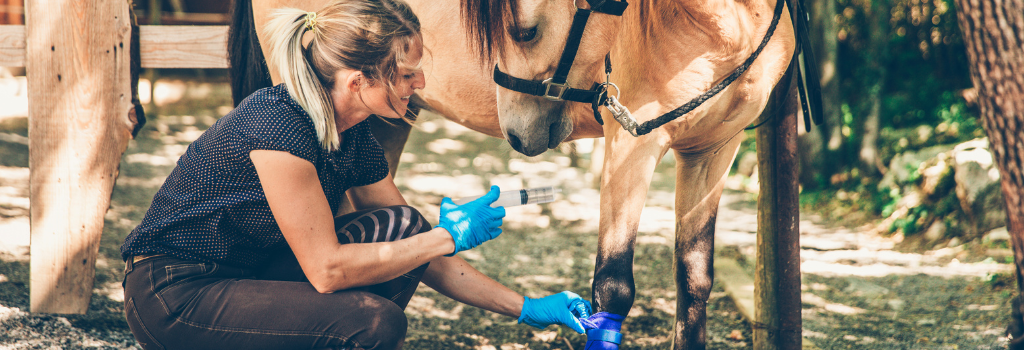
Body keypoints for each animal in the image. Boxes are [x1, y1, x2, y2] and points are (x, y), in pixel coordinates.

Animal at [232, 0, 798, 345]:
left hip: (382, 119)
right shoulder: (633, 145)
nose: (517, 133)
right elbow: (613, 288)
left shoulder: (714, 150)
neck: (722, 27)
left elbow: (694, 280)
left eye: (523, 30)